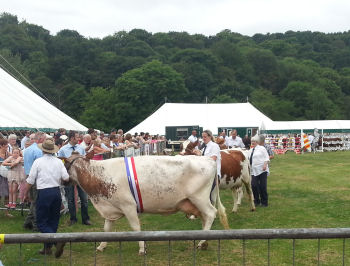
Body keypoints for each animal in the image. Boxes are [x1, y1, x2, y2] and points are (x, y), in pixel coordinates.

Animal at [65, 152, 230, 254]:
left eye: (66, 164)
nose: (63, 180)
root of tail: (209, 159)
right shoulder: (110, 207)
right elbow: (107, 229)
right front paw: (101, 246)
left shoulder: (128, 205)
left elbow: (136, 228)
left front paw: (142, 248)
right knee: (205, 217)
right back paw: (204, 241)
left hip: (199, 197)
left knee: (211, 213)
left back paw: (202, 241)